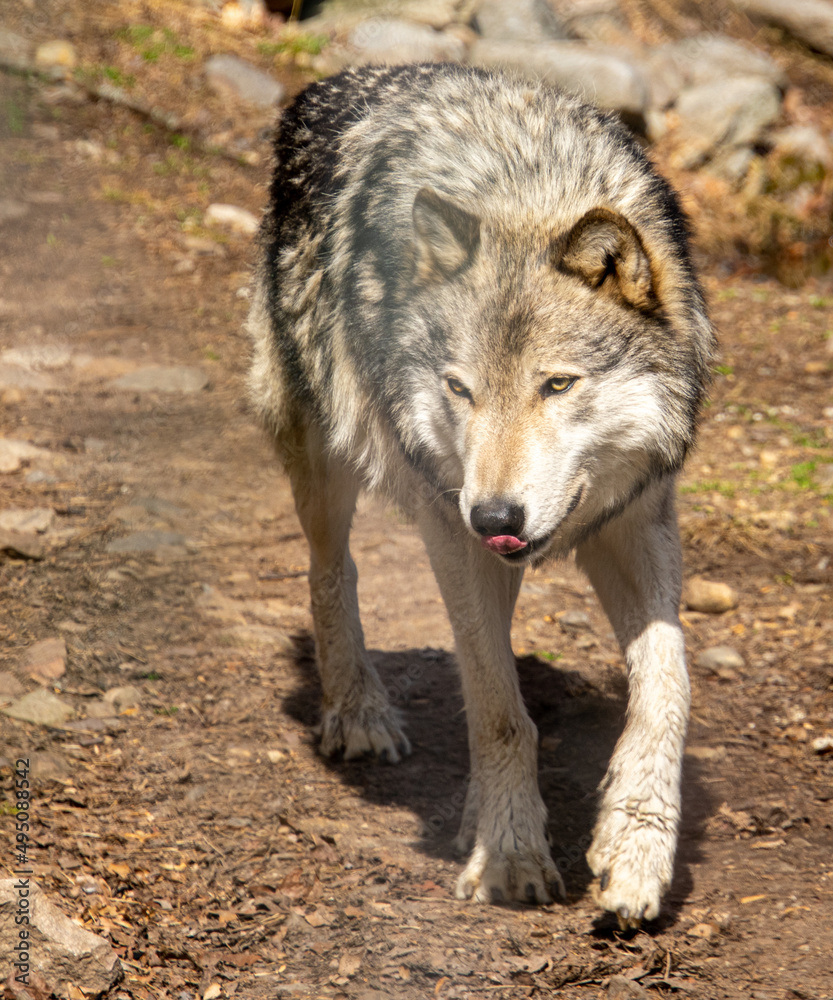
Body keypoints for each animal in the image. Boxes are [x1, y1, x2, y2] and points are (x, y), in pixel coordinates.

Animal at [247, 63, 715, 927]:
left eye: (556, 385)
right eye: (459, 389)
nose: (494, 513)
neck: (525, 196)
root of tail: (332, 79)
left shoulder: (632, 519)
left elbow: (666, 686)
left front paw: (636, 847)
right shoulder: (451, 527)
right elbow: (499, 710)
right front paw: (511, 855)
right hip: (326, 450)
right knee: (331, 571)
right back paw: (358, 711)